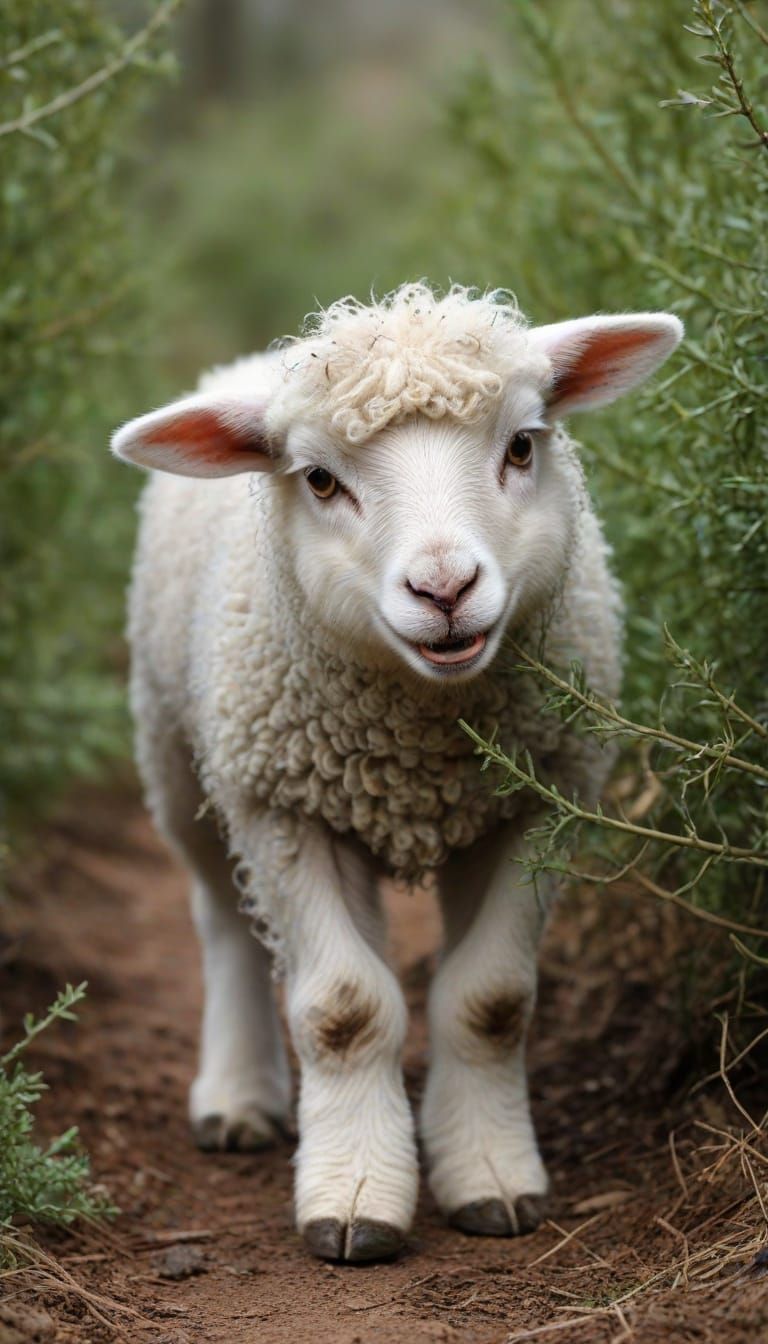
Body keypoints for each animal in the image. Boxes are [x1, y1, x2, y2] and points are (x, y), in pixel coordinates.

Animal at [112, 282, 682, 1263]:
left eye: (522, 444)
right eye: (319, 480)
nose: (444, 589)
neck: (421, 743)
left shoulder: (545, 800)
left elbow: (491, 1000)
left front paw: (488, 1172)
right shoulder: (282, 807)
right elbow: (344, 1007)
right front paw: (354, 1196)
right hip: (179, 753)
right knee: (221, 916)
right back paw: (238, 1095)